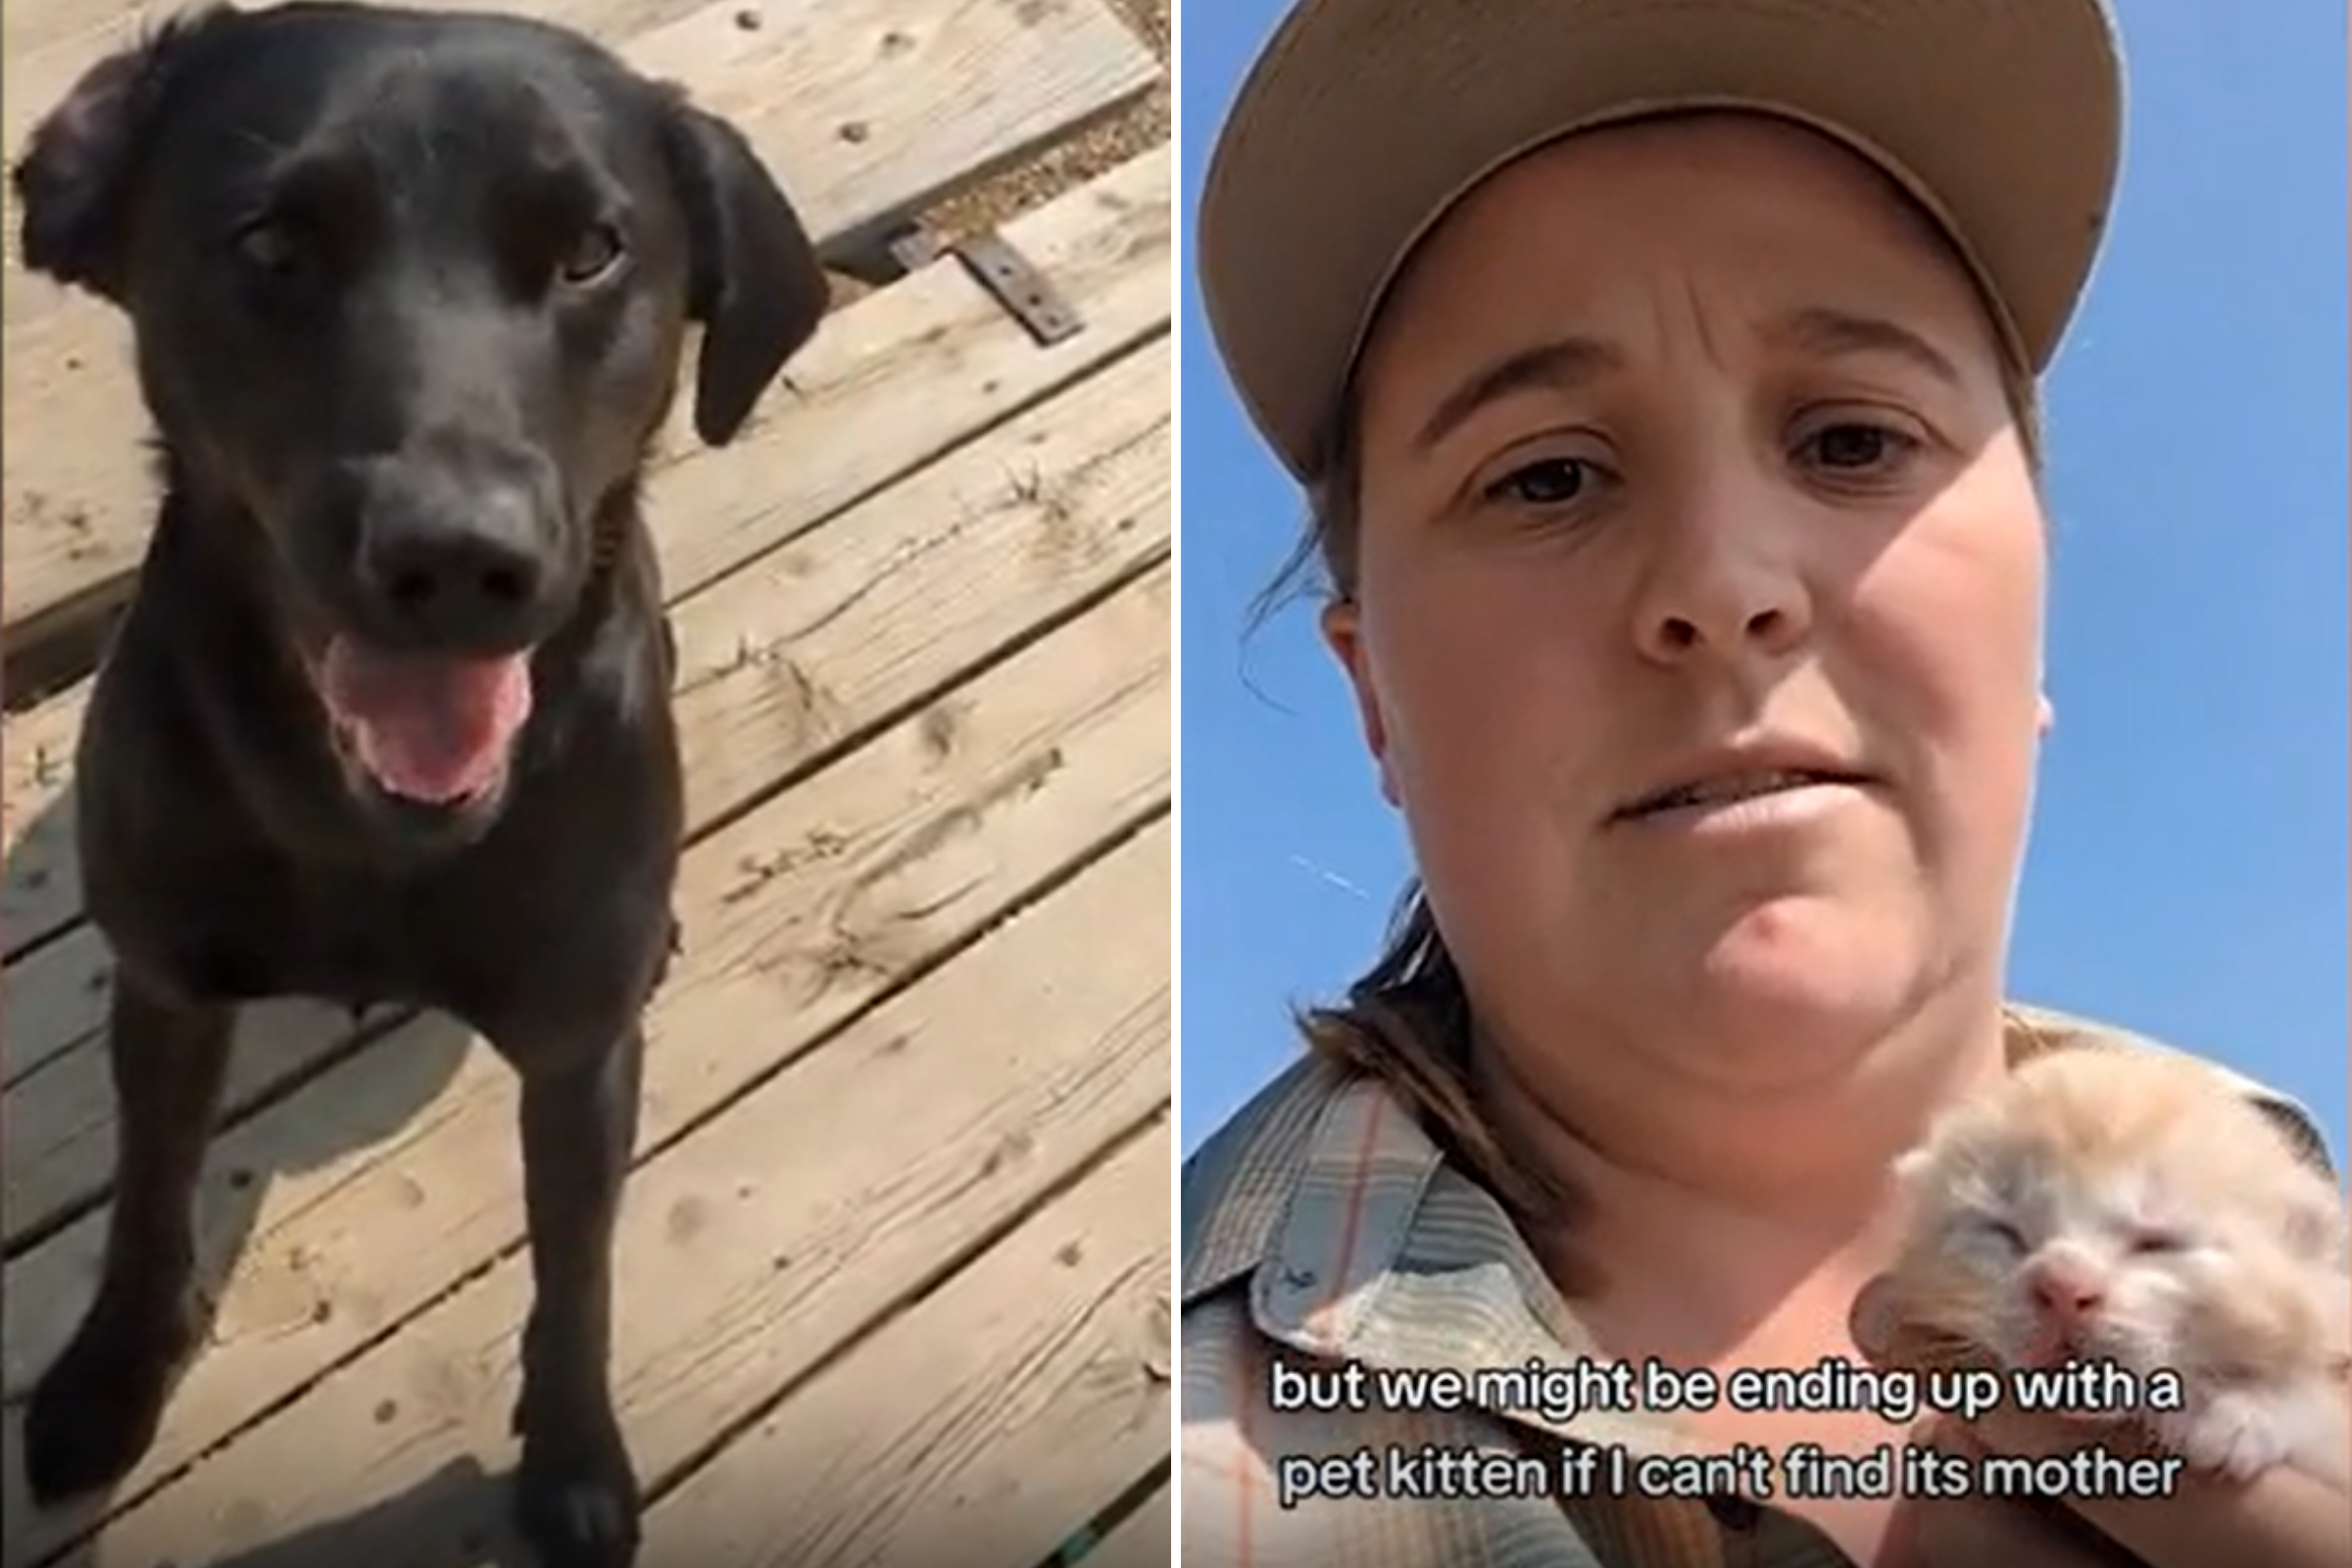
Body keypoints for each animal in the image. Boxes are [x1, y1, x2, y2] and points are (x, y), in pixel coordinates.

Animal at [9, 6, 832, 1560]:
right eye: (273, 244)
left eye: (591, 251)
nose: (456, 557)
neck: (366, 840)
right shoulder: (168, 990)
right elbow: (149, 1194)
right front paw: (106, 1379)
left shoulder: (577, 1055)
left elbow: (576, 1270)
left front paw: (573, 1461)